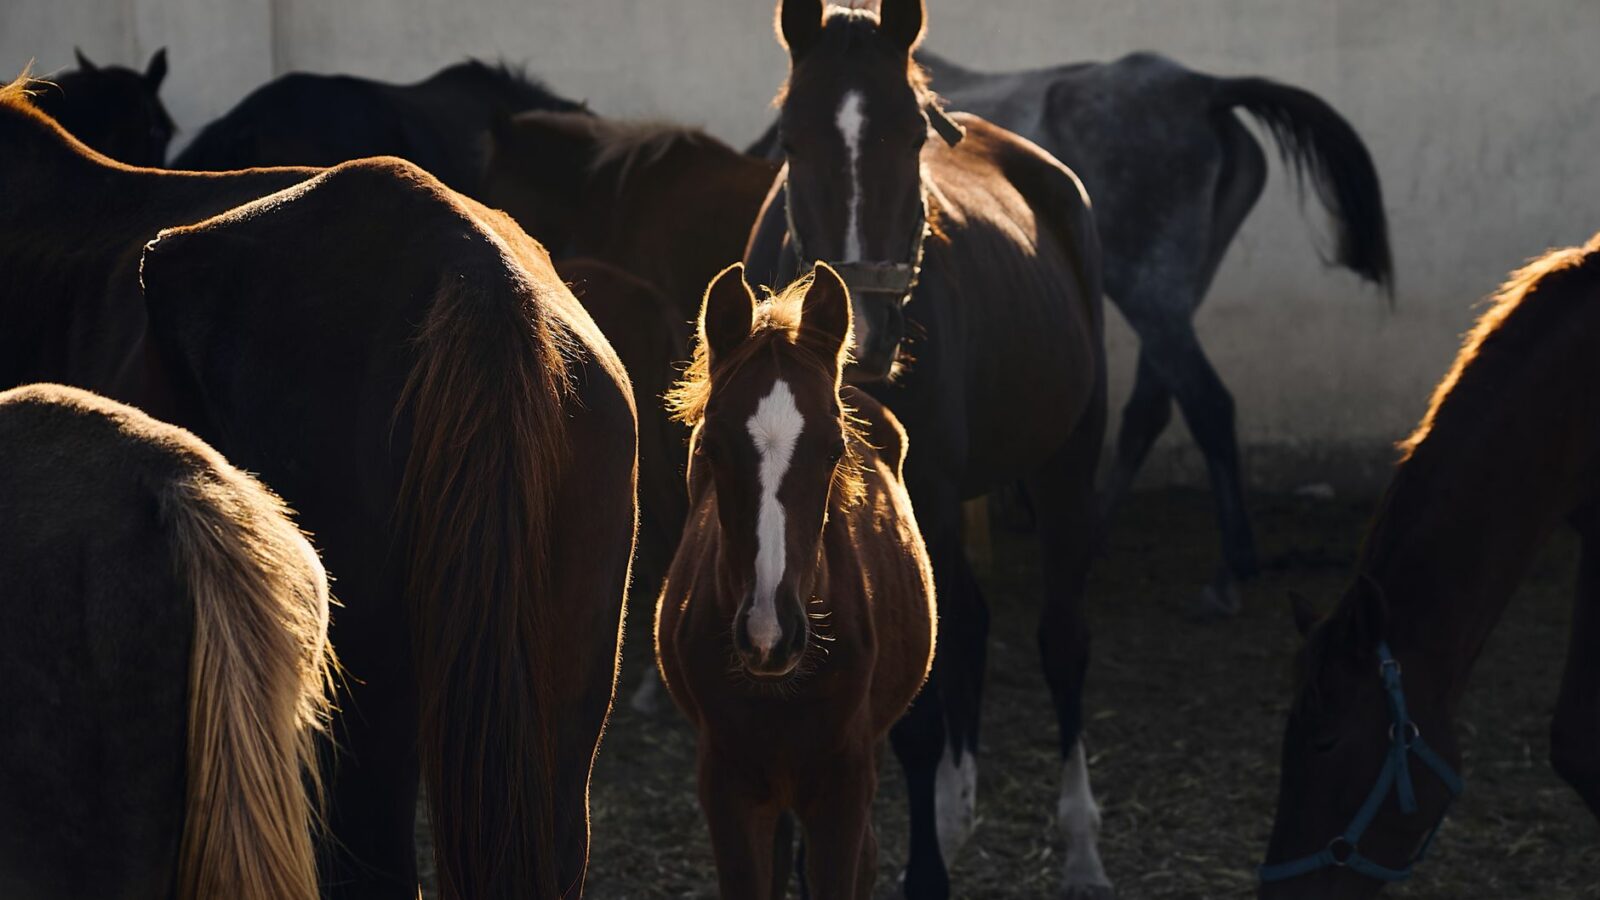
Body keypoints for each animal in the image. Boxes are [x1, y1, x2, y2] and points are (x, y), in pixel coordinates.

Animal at [744, 2, 1108, 896]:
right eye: (791, 138)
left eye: (912, 137)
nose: (866, 336)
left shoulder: (929, 504)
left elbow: (914, 713)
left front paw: (924, 874)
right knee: (969, 621)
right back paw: (955, 805)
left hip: (1067, 463)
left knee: (1061, 639)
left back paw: (1080, 845)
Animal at [752, 48, 1394, 616]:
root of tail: (1205, 90)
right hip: (1170, 292)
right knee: (1153, 407)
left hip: (1149, 288)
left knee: (1206, 402)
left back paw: (1226, 573)